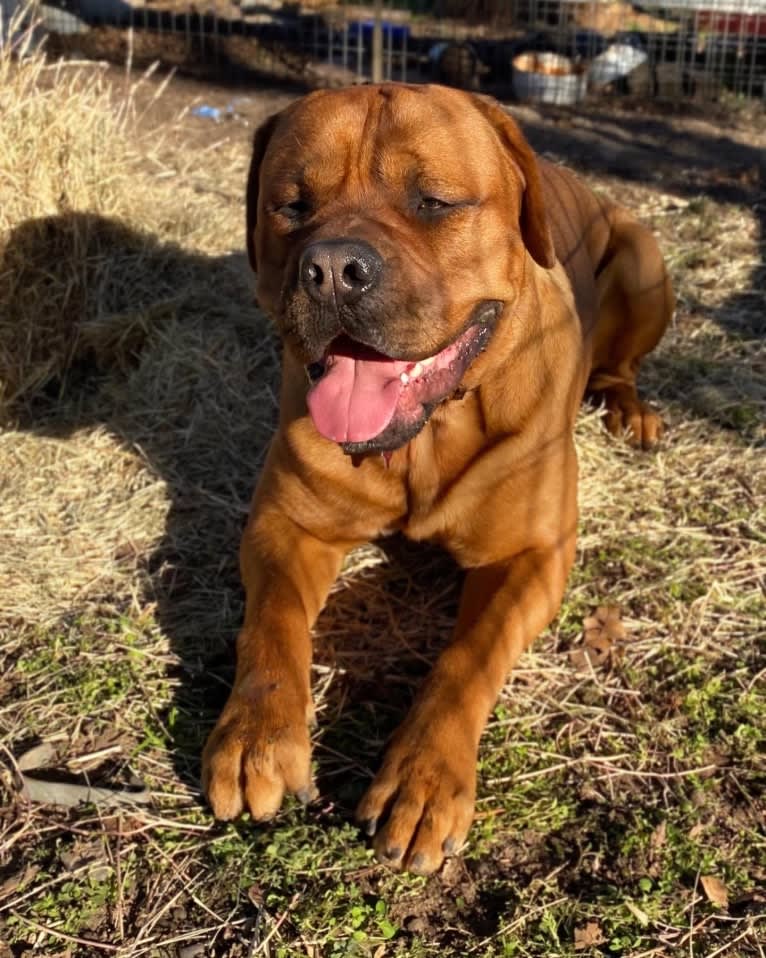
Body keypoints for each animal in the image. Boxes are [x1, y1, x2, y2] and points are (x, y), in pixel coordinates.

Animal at [201, 84, 676, 876]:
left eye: (434, 201)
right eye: (292, 205)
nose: (332, 268)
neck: (423, 440)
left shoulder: (532, 555)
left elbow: (467, 657)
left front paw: (423, 778)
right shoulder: (282, 523)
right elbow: (271, 624)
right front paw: (256, 736)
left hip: (644, 263)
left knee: (621, 367)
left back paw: (630, 411)